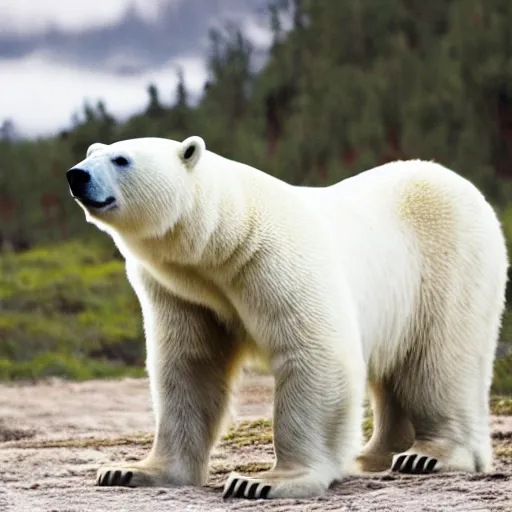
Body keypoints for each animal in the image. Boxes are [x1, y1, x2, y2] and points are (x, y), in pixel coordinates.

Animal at [65, 136, 508, 500]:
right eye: (91, 152)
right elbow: (190, 366)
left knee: (440, 361)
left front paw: (262, 482)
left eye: (121, 159)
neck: (222, 239)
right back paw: (376, 456)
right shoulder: (182, 289)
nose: (76, 175)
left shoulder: (273, 260)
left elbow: (315, 352)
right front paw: (130, 470)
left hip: (447, 263)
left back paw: (430, 455)